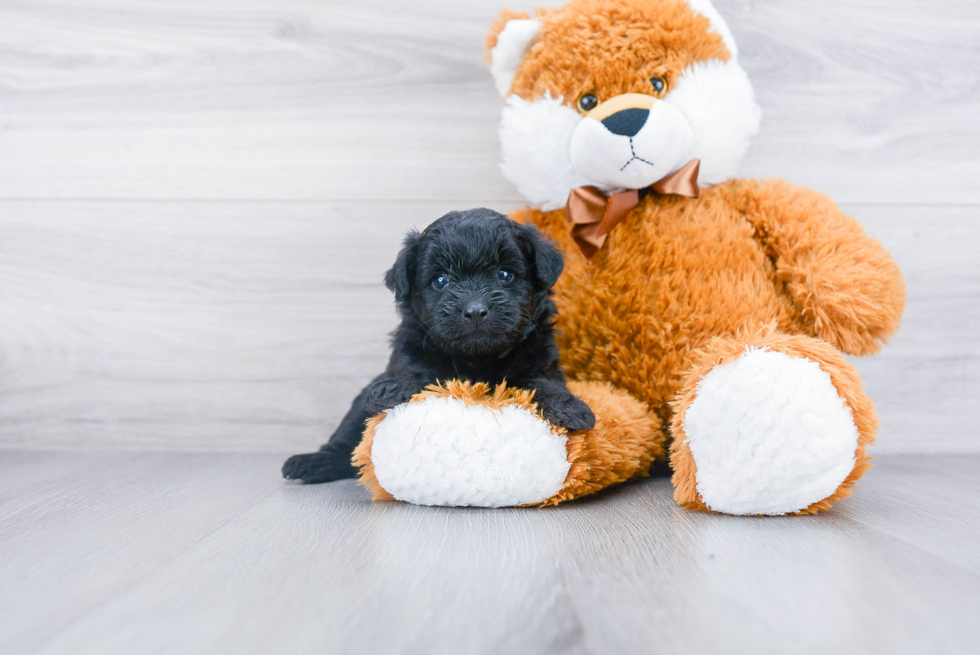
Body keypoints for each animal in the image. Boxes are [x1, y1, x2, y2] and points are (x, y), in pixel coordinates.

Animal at [280, 208, 592, 484]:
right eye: (441, 280)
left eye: (504, 275)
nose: (475, 310)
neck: (476, 359)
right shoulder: (412, 352)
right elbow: (415, 375)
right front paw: (391, 388)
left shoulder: (541, 360)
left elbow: (542, 382)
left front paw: (570, 407)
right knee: (346, 440)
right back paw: (314, 462)